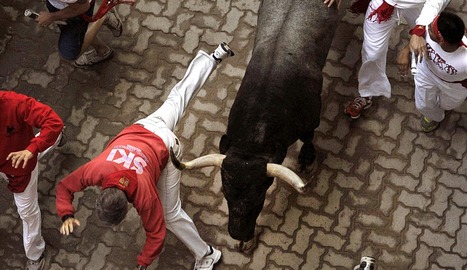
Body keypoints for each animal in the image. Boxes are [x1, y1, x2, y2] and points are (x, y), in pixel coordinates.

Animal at [171, 0, 344, 247]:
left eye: (260, 196)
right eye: (225, 193)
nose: (238, 234)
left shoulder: (312, 117)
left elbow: (309, 137)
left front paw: (306, 159)